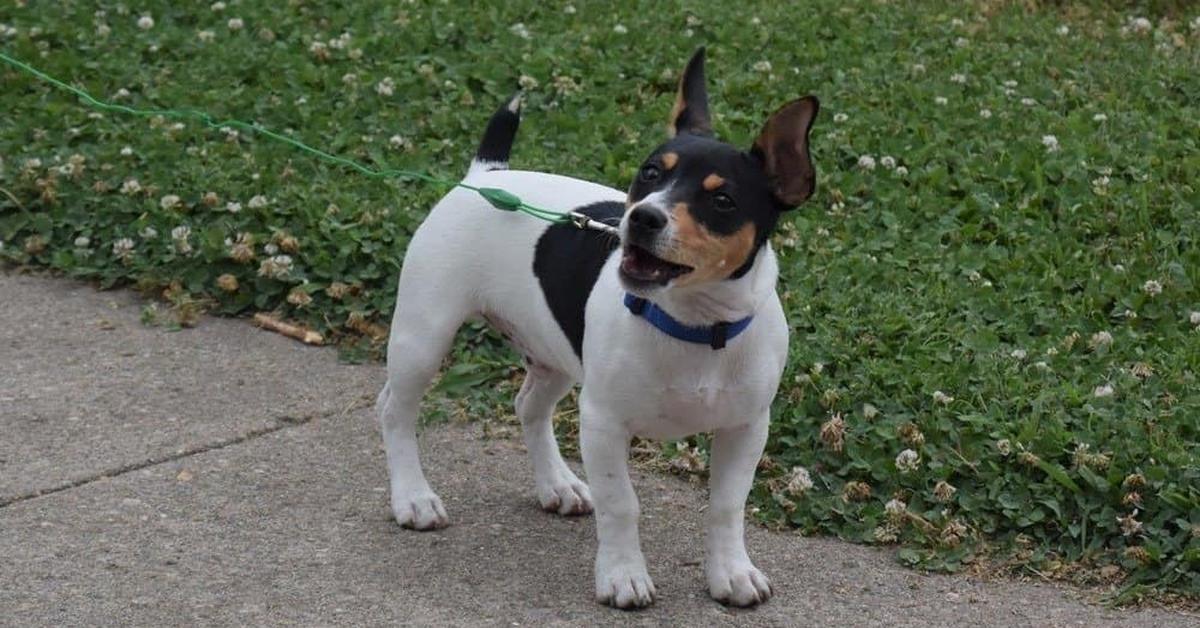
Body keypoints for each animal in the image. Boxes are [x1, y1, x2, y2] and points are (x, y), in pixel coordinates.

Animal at [379, 48, 820, 609]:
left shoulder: (745, 427)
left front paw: (732, 572)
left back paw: (557, 485)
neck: (694, 325)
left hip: (552, 351)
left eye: (722, 201)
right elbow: (622, 503)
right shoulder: (604, 424)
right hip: (425, 335)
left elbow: (726, 507)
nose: (643, 217)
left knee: (529, 406)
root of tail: (485, 174)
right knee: (395, 409)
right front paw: (623, 575)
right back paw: (413, 497)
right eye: (650, 172)